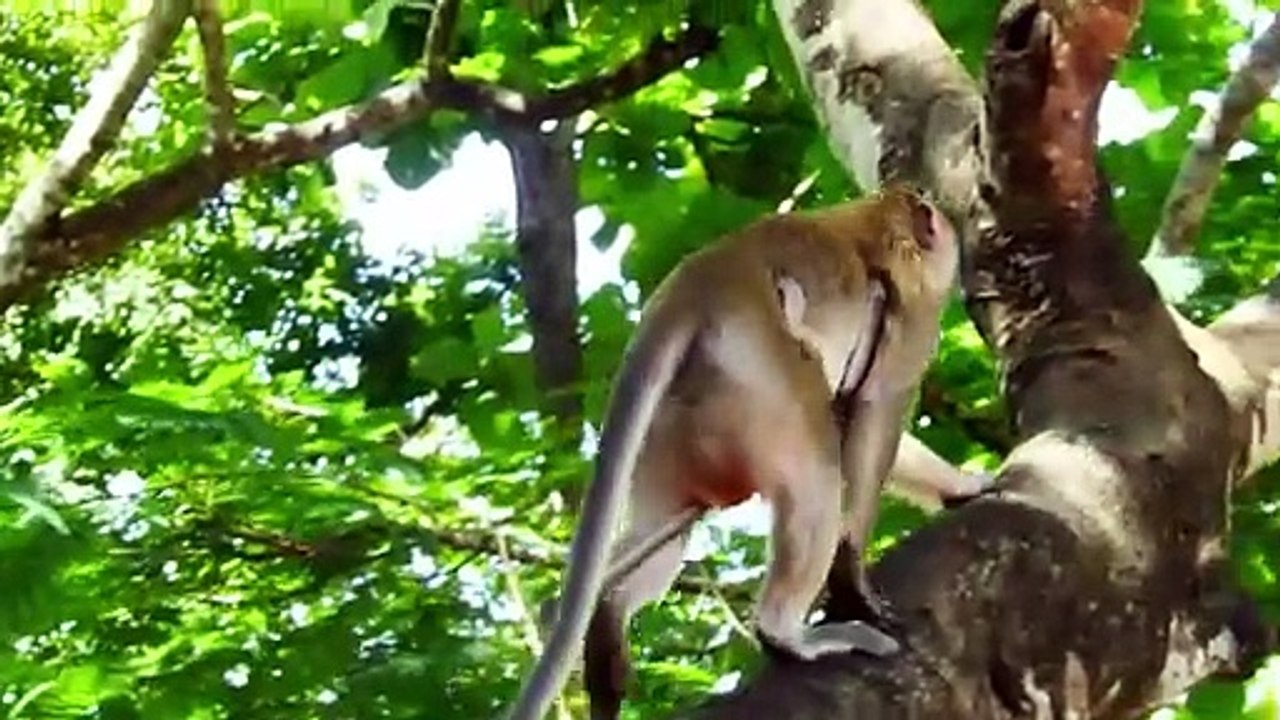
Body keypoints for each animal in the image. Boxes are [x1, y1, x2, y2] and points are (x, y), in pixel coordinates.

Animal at [504, 184, 962, 720]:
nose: (943, 222)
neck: (875, 215)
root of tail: (695, 286)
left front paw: (965, 485)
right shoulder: (914, 315)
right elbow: (875, 416)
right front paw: (855, 585)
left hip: (666, 434)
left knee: (664, 529)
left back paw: (606, 618)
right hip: (766, 375)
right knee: (815, 477)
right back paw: (785, 635)